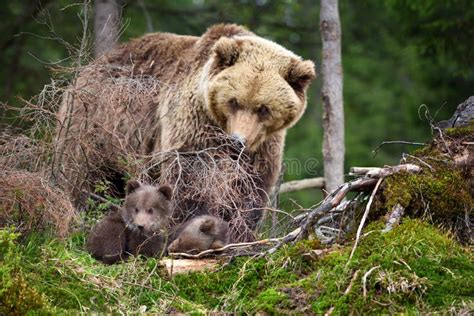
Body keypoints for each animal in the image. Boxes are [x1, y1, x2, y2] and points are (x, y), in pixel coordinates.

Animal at [55, 24, 314, 237]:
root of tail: (87, 68)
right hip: (94, 125)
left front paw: (239, 232)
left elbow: (249, 191)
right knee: (84, 178)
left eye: (264, 108)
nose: (238, 140)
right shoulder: (191, 127)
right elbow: (187, 182)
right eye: (234, 101)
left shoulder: (263, 147)